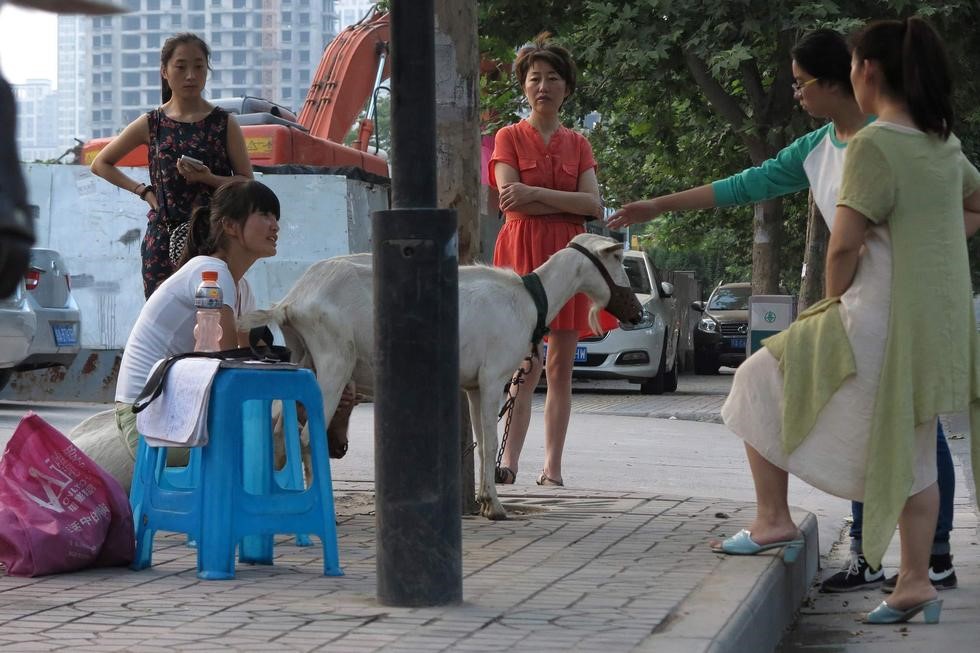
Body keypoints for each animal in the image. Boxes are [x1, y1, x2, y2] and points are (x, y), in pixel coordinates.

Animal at [242, 232, 644, 516]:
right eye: (618, 260)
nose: (637, 313)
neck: (531, 298)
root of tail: (291, 301)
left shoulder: (473, 385)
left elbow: (481, 440)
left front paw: (484, 500)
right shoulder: (494, 377)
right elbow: (491, 441)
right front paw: (496, 507)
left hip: (301, 357)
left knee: (277, 430)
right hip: (333, 360)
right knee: (306, 436)